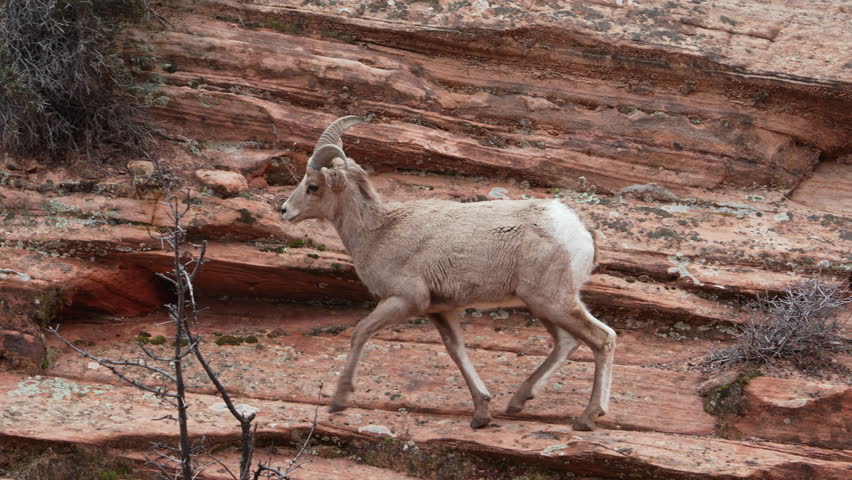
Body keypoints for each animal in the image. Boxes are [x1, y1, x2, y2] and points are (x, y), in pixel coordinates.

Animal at [281, 115, 616, 430]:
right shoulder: (440, 310)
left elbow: (360, 332)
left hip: (552, 302)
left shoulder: (404, 300)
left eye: (313, 186)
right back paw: (518, 402)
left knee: (602, 339)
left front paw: (339, 401)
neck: (379, 232)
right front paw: (481, 414)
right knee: (568, 342)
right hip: (543, 305)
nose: (284, 210)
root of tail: (580, 231)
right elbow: (457, 351)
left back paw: (587, 417)